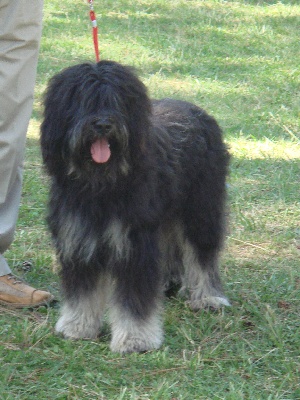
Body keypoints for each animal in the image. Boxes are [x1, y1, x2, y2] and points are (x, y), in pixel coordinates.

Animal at [40, 59, 230, 354]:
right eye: (83, 101)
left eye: (117, 102)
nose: (103, 124)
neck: (102, 184)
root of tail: (196, 110)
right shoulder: (79, 239)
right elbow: (82, 292)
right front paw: (78, 326)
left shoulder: (134, 243)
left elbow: (134, 299)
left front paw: (135, 339)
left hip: (201, 209)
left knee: (202, 254)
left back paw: (208, 297)